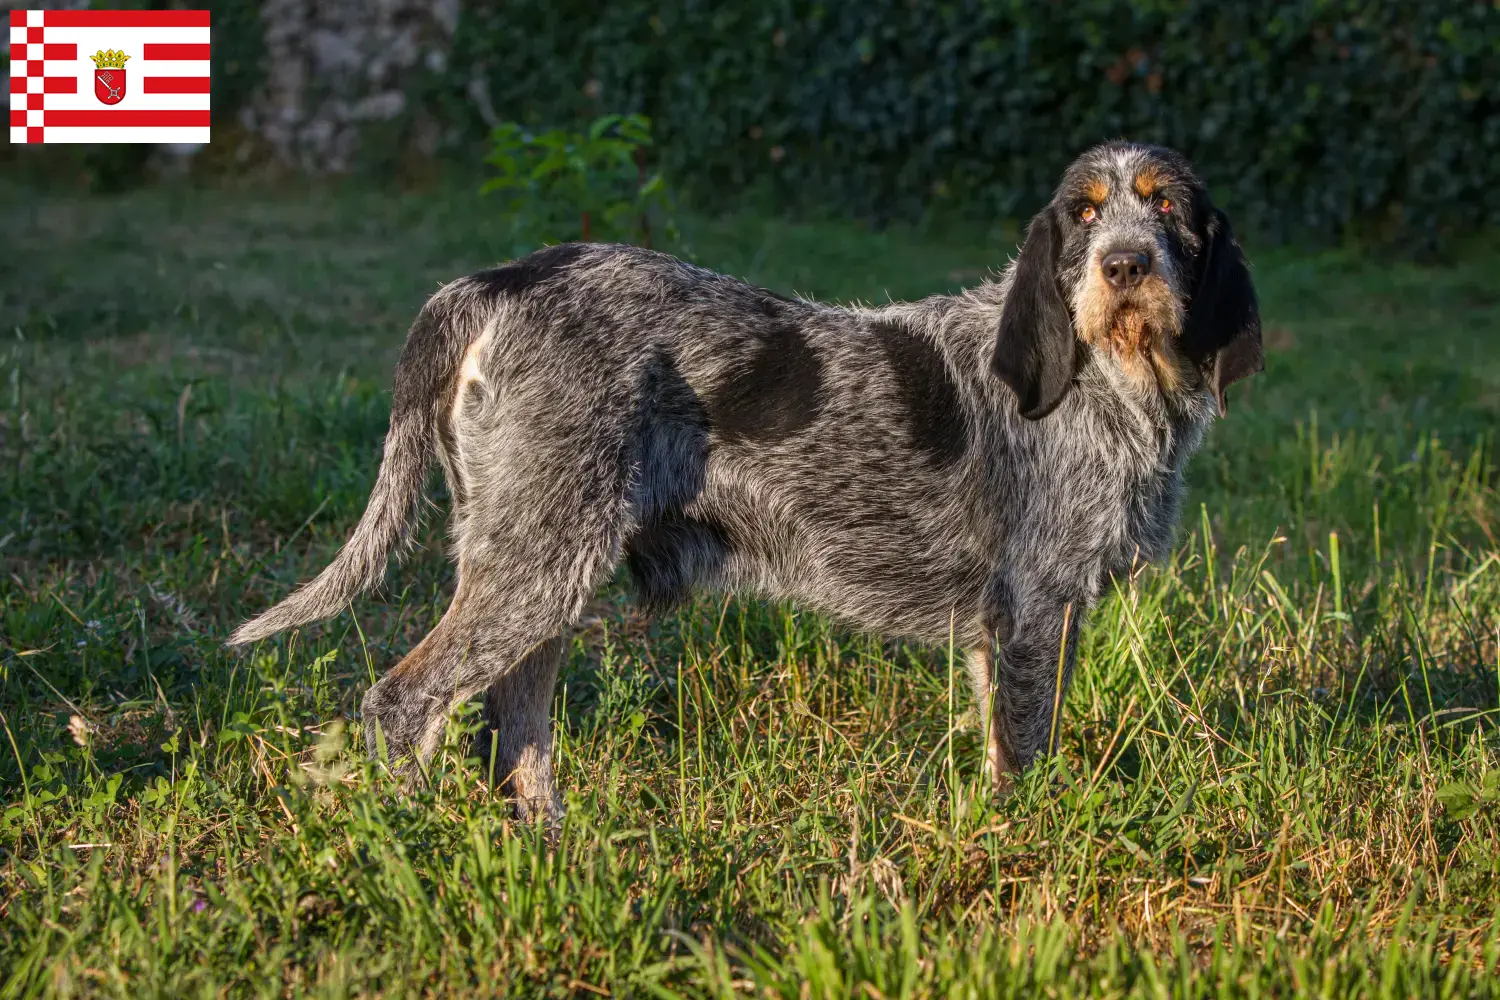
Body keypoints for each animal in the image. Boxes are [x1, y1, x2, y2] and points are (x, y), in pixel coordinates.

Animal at [231, 142, 1266, 827]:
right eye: (1085, 213)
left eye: (1167, 210)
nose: (1124, 266)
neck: (1113, 378)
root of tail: (499, 281)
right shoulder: (1035, 611)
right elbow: (1025, 752)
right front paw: (1026, 851)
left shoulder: (1007, 626)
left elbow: (996, 741)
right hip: (537, 564)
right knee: (404, 704)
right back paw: (415, 843)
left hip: (539, 563)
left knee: (514, 718)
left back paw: (547, 844)